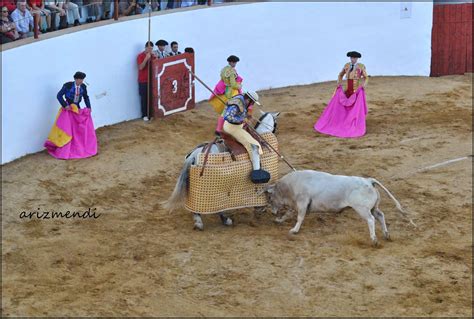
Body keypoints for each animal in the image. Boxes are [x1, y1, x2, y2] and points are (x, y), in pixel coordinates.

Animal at [262, 171, 414, 246]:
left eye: (270, 198)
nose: (272, 212)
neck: (290, 185)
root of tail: (368, 181)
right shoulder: (297, 204)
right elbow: (288, 213)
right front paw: (279, 220)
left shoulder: (302, 202)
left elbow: (299, 217)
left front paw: (294, 230)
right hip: (373, 208)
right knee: (380, 215)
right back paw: (386, 235)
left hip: (362, 209)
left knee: (371, 220)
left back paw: (374, 239)